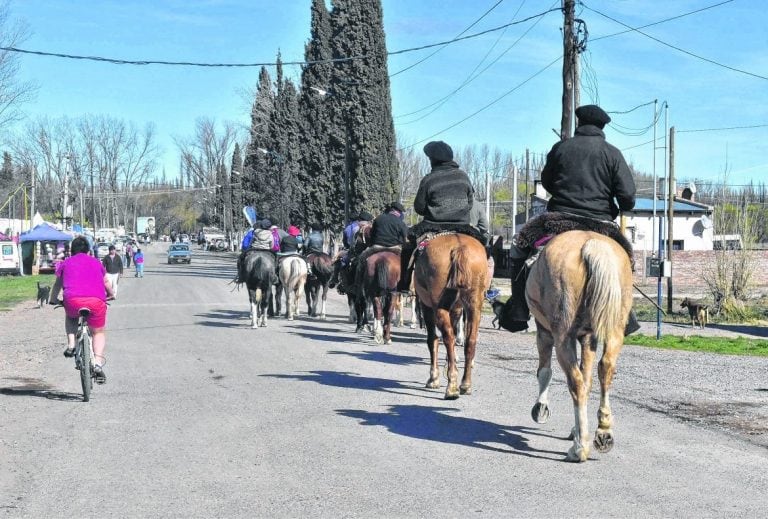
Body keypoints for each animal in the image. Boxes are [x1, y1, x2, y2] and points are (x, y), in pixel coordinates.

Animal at [414, 234, 486, 400]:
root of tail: (459, 247)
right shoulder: (457, 309)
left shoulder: (427, 306)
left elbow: (433, 340)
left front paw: (434, 378)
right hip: (474, 305)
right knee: (470, 340)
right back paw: (465, 384)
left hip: (438, 306)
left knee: (447, 338)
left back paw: (452, 386)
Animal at [524, 232, 632, 464]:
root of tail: (592, 245)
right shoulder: (588, 337)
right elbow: (588, 378)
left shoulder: (544, 332)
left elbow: (544, 371)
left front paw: (541, 408)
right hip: (615, 329)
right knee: (605, 369)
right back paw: (603, 432)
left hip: (562, 336)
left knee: (575, 383)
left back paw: (580, 448)